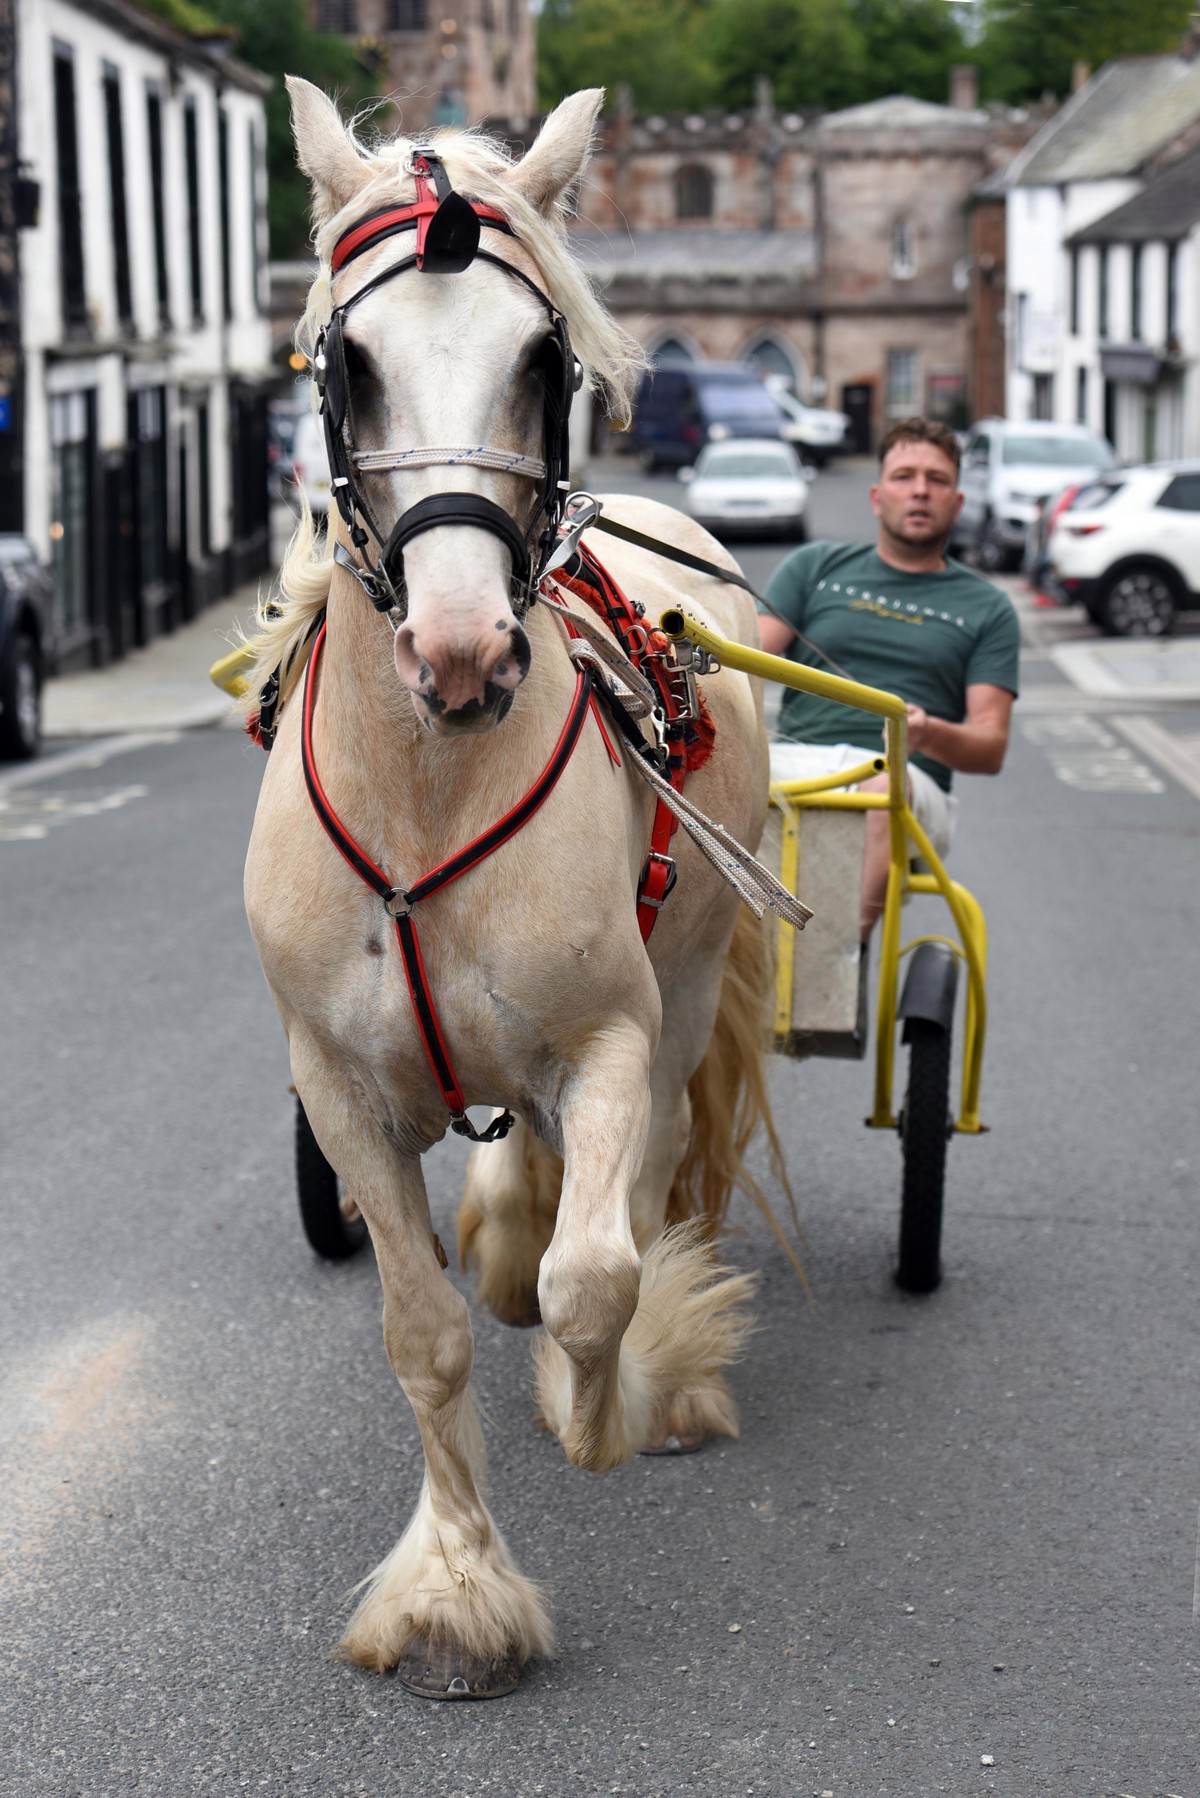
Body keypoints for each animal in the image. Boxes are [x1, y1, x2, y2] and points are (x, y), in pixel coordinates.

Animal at [244, 80, 788, 1697]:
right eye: (347, 364)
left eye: (541, 358)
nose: (463, 649)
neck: (429, 783)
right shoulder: (337, 1084)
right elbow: (422, 1329)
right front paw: (454, 1591)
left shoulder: (607, 1034)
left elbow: (593, 1277)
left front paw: (608, 1398)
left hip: (683, 985)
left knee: (641, 1172)